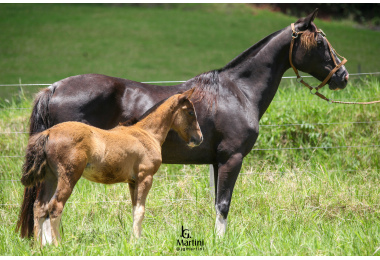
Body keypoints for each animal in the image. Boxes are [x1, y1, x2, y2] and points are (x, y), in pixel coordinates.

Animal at [19, 9, 348, 238]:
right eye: (320, 40)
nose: (343, 76)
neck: (237, 91)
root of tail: (54, 88)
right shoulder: (232, 158)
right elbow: (223, 204)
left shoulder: (216, 161)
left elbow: (217, 202)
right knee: (47, 206)